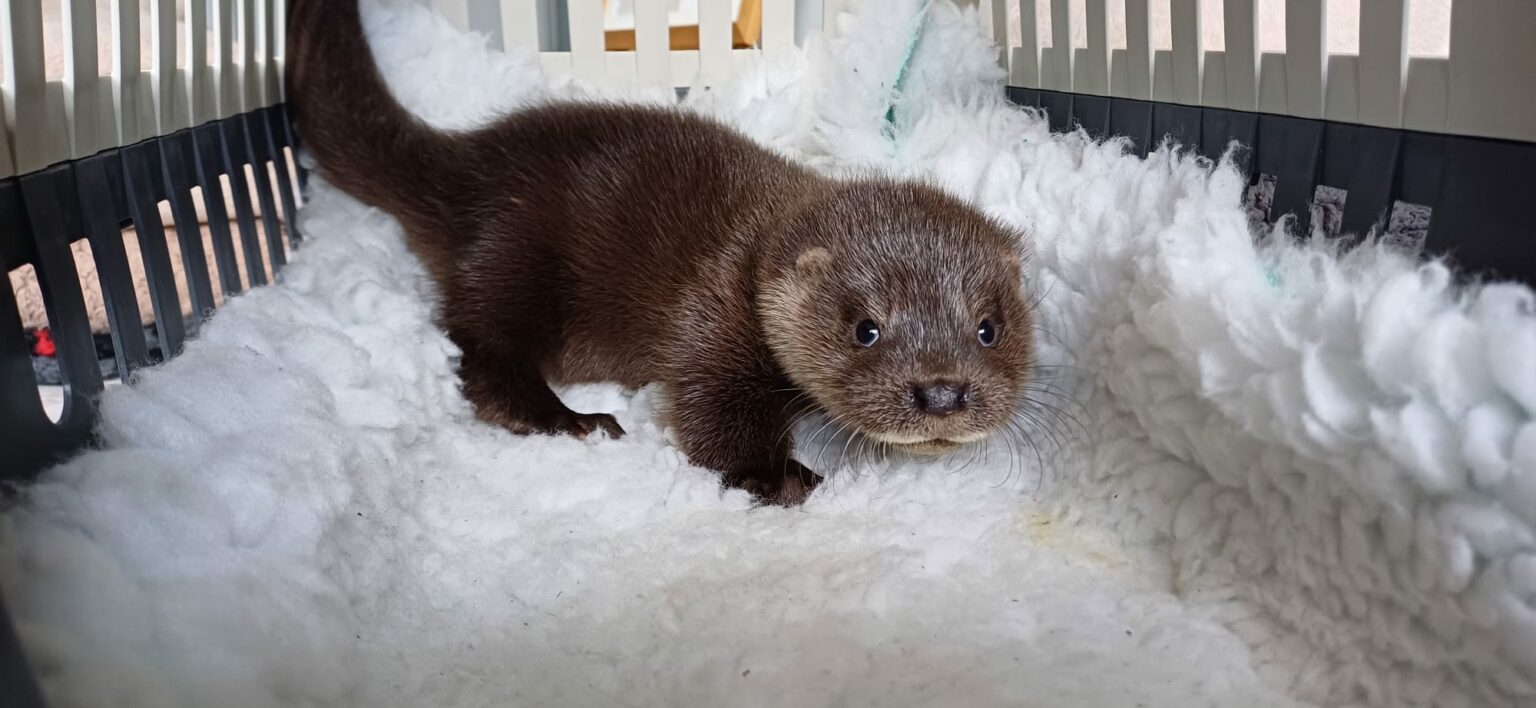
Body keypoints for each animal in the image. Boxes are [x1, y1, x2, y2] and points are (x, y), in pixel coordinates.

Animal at [286, 0, 1035, 505]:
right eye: (865, 329)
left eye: (988, 329)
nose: (943, 392)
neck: (759, 253)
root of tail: (465, 162)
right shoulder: (714, 320)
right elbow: (710, 417)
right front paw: (776, 475)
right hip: (513, 252)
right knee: (484, 356)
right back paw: (572, 419)